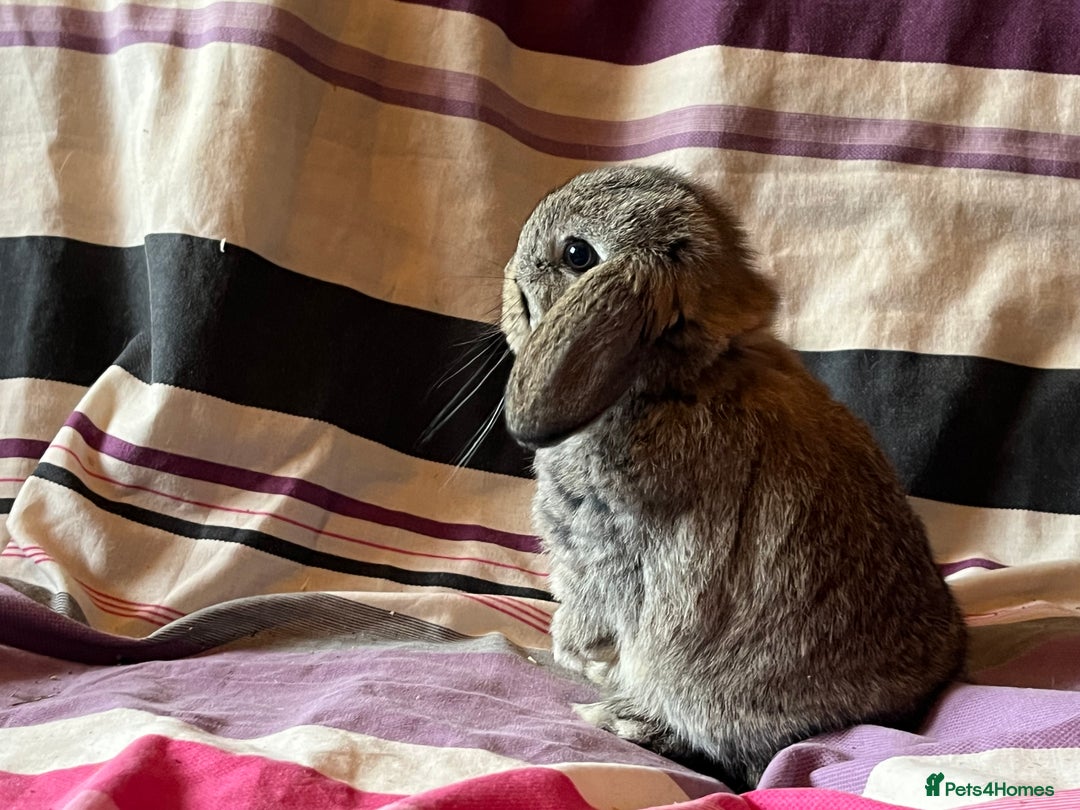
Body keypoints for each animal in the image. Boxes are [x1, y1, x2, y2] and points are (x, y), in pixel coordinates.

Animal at [499, 165, 967, 790]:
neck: (674, 377)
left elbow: (591, 613)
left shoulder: (604, 553)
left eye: (577, 254)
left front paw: (569, 651)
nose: (509, 273)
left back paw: (624, 719)